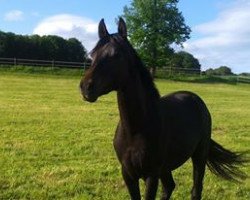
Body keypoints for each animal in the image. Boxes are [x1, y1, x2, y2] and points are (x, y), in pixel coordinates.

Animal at [80, 18, 246, 199]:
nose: (86, 87)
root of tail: (196, 99)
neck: (136, 130)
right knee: (169, 186)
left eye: (116, 55)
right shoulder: (129, 175)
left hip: (199, 156)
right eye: (93, 54)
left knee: (196, 189)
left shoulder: (151, 175)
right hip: (166, 168)